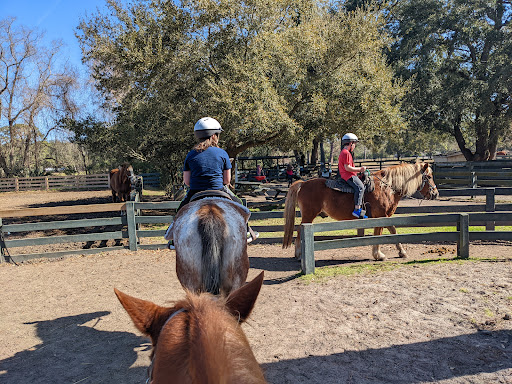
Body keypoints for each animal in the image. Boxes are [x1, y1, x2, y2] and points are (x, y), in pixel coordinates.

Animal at [282, 162, 438, 260]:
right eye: (429, 177)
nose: (435, 193)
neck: (386, 188)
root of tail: (303, 183)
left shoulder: (385, 216)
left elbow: (393, 231)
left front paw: (402, 252)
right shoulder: (380, 217)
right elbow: (379, 235)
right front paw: (378, 255)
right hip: (308, 216)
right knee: (299, 231)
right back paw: (299, 254)